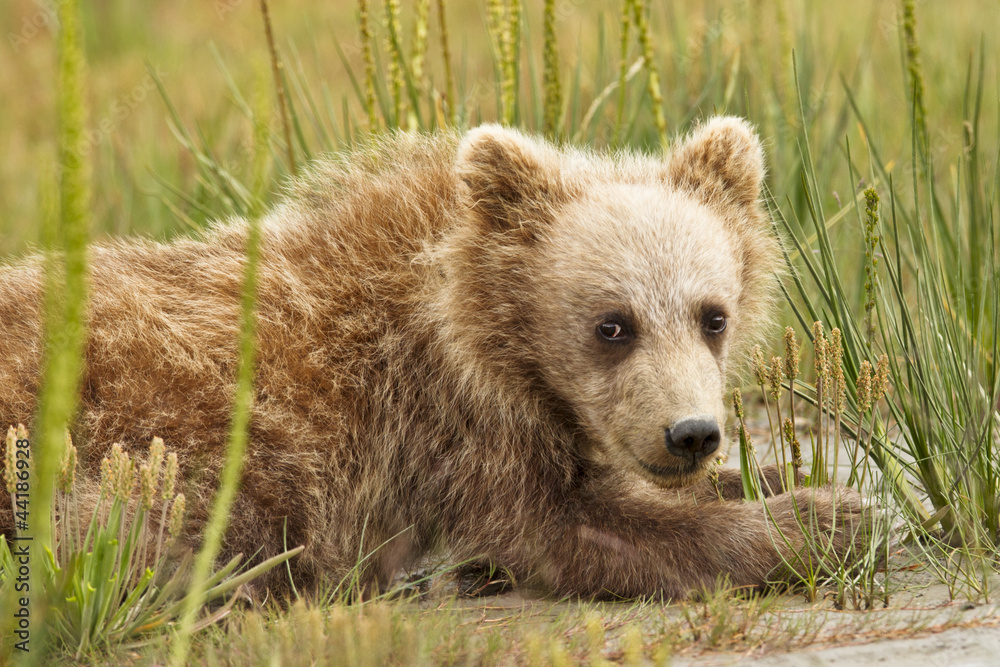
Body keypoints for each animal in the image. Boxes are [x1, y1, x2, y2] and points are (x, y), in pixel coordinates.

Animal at [0, 117, 868, 599]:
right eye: (612, 325)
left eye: (712, 315)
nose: (690, 432)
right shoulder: (446, 427)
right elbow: (575, 530)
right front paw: (827, 519)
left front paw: (791, 478)